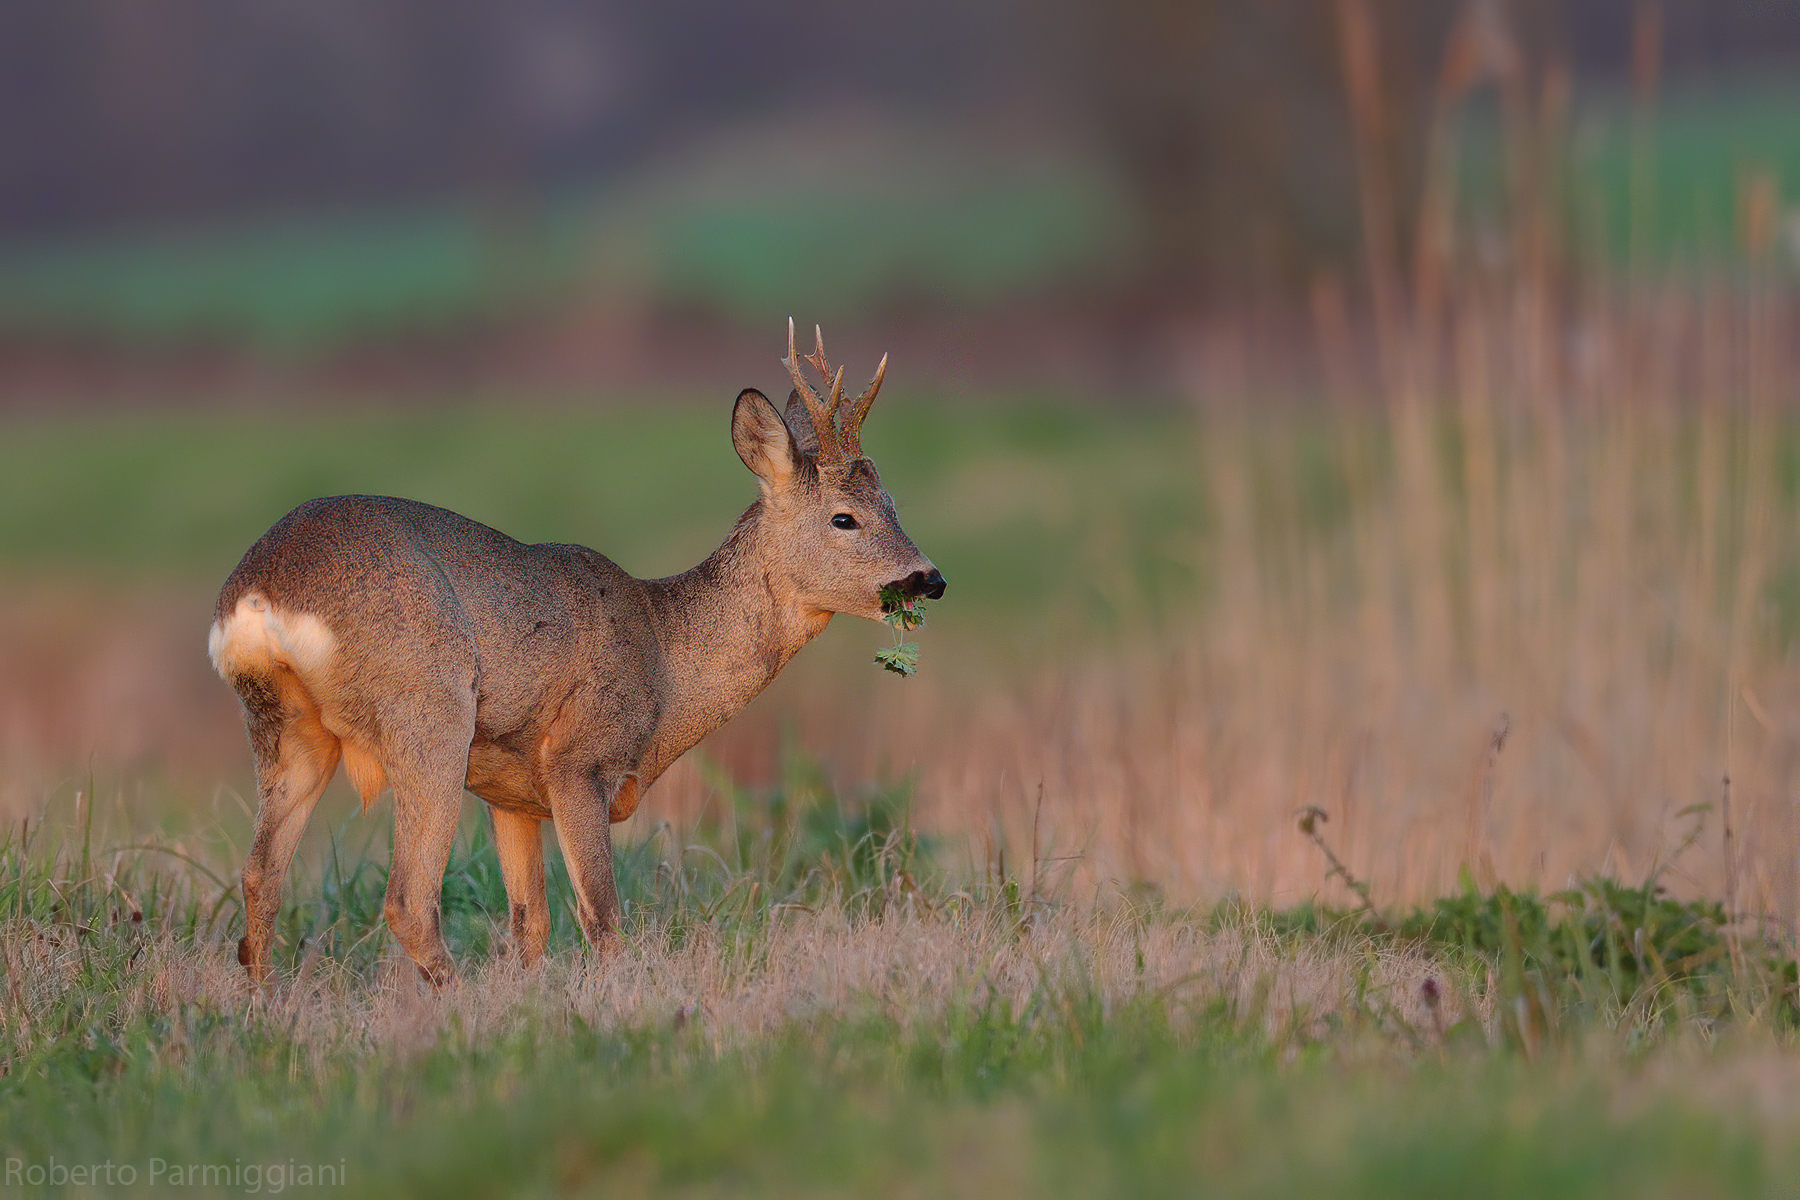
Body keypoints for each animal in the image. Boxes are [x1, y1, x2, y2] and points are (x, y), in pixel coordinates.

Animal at [207, 322, 945, 986]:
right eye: (844, 517)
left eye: (893, 502)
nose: (929, 579)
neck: (666, 661)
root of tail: (261, 590)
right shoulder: (577, 759)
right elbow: (603, 919)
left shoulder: (511, 794)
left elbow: (530, 924)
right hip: (428, 711)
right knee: (408, 902)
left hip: (286, 728)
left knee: (260, 879)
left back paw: (267, 1007)